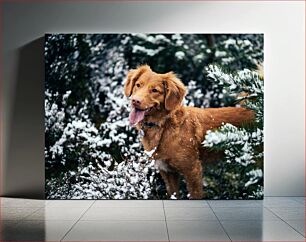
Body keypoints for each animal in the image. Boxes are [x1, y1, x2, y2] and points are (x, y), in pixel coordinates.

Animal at [124, 64, 253, 199]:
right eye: (138, 85)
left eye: (154, 90)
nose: (135, 101)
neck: (163, 127)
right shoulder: (167, 172)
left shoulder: (193, 170)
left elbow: (195, 195)